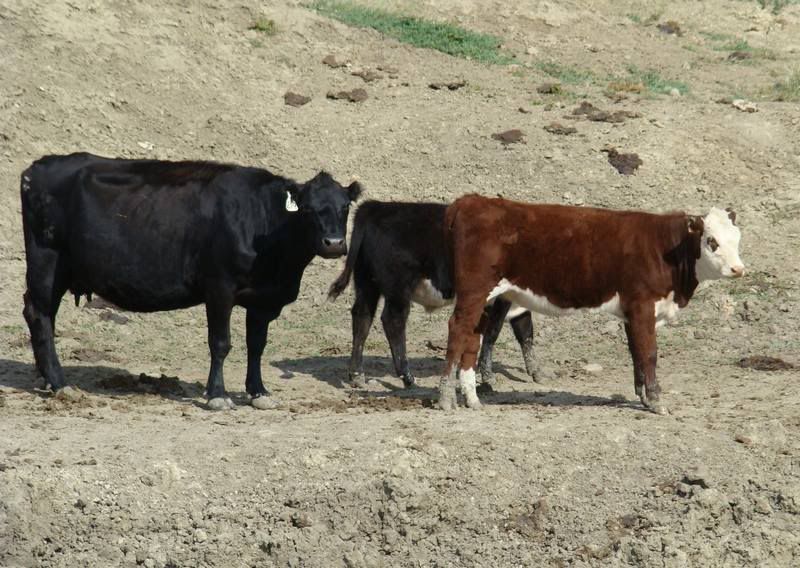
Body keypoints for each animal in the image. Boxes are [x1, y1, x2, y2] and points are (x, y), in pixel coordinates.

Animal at [20, 152, 362, 410]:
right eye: (308, 209)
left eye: (345, 207)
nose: (334, 243)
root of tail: (39, 166)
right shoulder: (220, 287)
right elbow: (220, 342)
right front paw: (218, 395)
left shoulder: (265, 299)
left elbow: (257, 346)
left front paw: (259, 392)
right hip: (46, 261)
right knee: (39, 314)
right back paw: (60, 383)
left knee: (44, 316)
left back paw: (46, 378)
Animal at [327, 200, 548, 388]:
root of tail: (375, 207)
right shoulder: (499, 300)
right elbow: (492, 334)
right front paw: (488, 376)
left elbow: (525, 331)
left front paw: (536, 372)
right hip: (398, 288)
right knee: (392, 320)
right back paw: (407, 376)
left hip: (367, 285)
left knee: (362, 319)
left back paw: (357, 375)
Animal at [439, 195, 744, 414]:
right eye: (712, 241)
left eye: (737, 239)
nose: (738, 269)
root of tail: (471, 200)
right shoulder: (643, 305)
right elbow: (649, 353)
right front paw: (657, 402)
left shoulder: (631, 312)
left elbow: (637, 353)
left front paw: (644, 398)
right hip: (474, 290)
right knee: (457, 330)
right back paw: (445, 398)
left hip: (484, 297)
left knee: (472, 336)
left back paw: (472, 399)